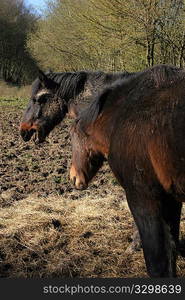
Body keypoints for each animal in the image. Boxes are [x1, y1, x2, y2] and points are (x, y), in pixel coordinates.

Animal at [69, 64, 185, 278]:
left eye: (72, 134)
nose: (73, 177)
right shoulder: (170, 199)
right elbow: (171, 252)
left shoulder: (144, 198)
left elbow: (158, 263)